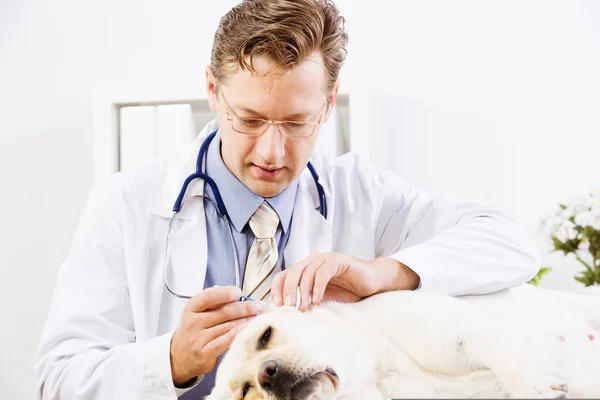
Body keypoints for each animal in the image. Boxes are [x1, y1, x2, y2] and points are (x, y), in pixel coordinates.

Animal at [206, 286, 600, 398]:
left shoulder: (466, 332)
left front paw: (538, 386)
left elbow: (511, 363)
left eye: (266, 336)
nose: (268, 375)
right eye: (246, 391)